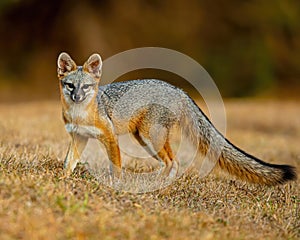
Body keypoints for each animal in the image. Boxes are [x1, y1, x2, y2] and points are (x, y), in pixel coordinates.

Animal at [57, 52, 296, 184]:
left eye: (86, 87)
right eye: (70, 85)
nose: (77, 97)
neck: (80, 114)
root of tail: (178, 89)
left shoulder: (110, 137)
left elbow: (115, 166)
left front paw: (115, 185)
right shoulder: (79, 137)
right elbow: (69, 162)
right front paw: (63, 181)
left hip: (150, 137)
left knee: (173, 161)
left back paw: (159, 184)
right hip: (144, 140)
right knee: (172, 162)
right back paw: (159, 183)